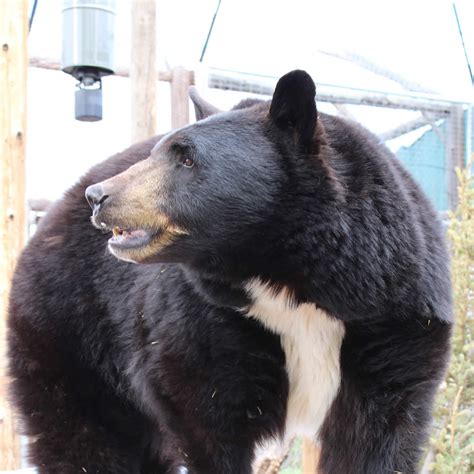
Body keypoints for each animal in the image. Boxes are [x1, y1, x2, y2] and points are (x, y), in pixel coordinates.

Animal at [7, 71, 452, 474]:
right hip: (72, 334)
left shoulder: (395, 318)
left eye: (186, 157)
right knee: (90, 442)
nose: (99, 196)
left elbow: (378, 435)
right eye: (159, 152)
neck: (287, 275)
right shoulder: (204, 321)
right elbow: (206, 410)